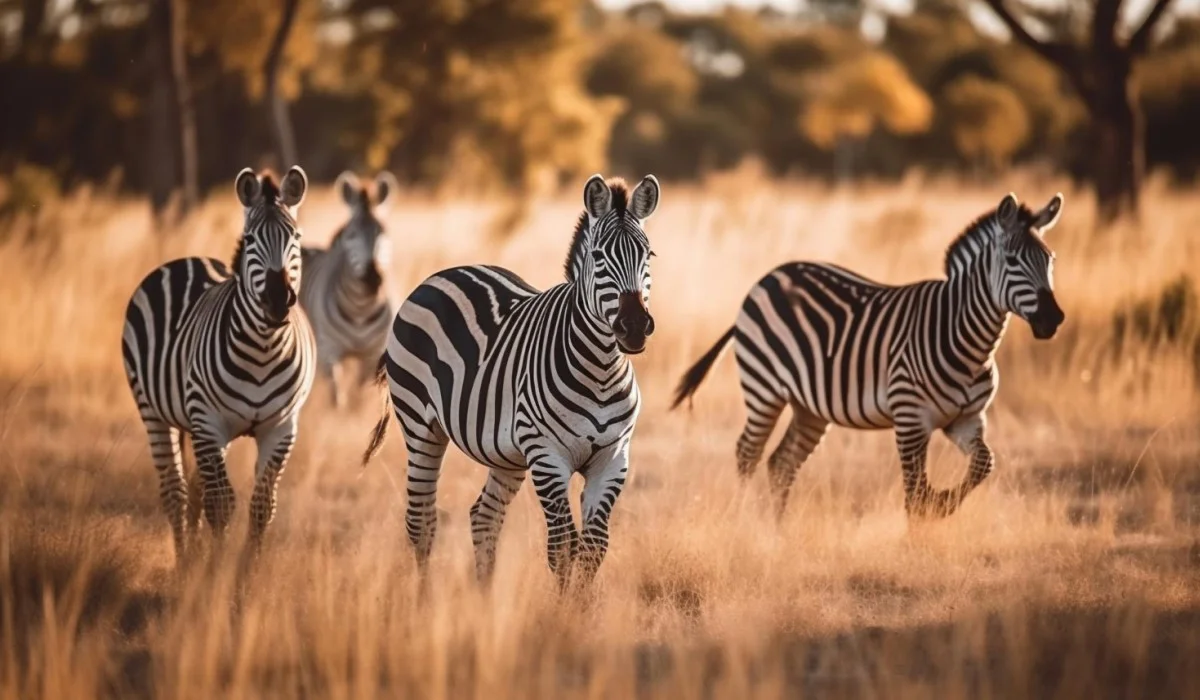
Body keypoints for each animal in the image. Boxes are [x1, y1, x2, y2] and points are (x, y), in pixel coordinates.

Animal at [121, 165, 316, 564]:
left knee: (195, 490)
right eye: (251, 239)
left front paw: (246, 572)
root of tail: (189, 260)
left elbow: (262, 505)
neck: (263, 349)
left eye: (296, 236)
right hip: (155, 412)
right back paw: (184, 563)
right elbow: (221, 504)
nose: (278, 300)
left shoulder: (281, 427)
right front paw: (216, 572)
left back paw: (194, 556)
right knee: (176, 492)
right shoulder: (209, 422)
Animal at [300, 171, 398, 410]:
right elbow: (337, 396)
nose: (373, 277)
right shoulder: (329, 350)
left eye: (382, 233)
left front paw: (355, 411)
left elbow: (358, 393)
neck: (360, 308)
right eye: (352, 235)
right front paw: (338, 414)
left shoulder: (373, 353)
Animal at [362, 174, 662, 585]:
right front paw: (561, 605)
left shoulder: (613, 458)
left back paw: (484, 598)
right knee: (421, 522)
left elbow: (593, 549)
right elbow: (562, 548)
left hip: (506, 453)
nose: (633, 327)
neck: (601, 369)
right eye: (599, 257)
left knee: (484, 517)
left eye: (648, 256)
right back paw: (423, 599)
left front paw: (582, 605)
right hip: (421, 428)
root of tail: (443, 273)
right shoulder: (548, 456)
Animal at [672, 192, 1065, 521]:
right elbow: (914, 493)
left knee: (781, 463)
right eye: (1012, 261)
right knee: (747, 453)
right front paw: (920, 537)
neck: (967, 341)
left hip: (810, 407)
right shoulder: (910, 421)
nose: (1053, 319)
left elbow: (984, 462)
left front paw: (942, 504)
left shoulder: (967, 419)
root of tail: (768, 276)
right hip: (764, 388)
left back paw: (778, 533)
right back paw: (743, 523)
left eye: (1050, 260)